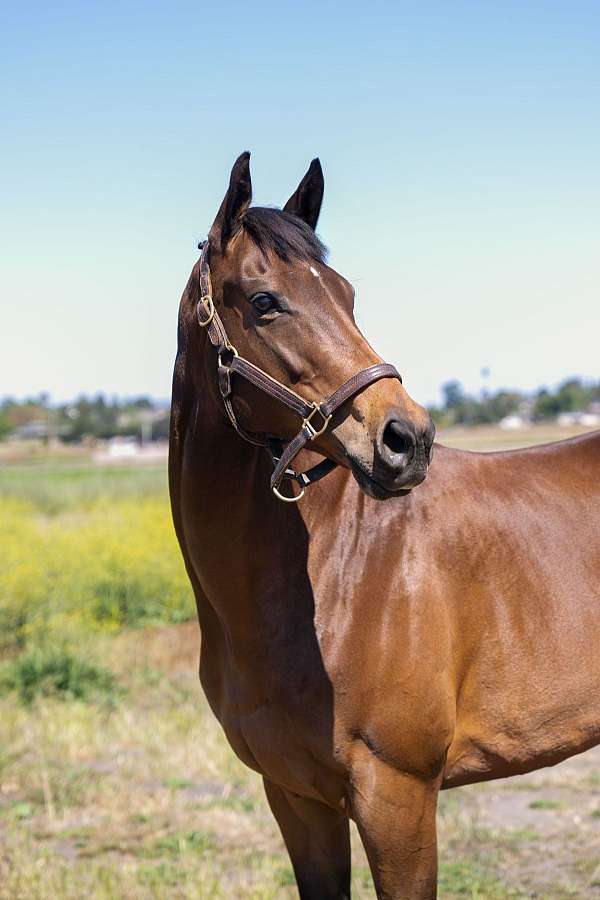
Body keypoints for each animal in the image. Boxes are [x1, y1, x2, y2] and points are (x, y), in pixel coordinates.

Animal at [169, 152, 600, 899]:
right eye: (263, 301)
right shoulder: (296, 797)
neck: (331, 576)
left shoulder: (396, 796)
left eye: (347, 295)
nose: (407, 439)